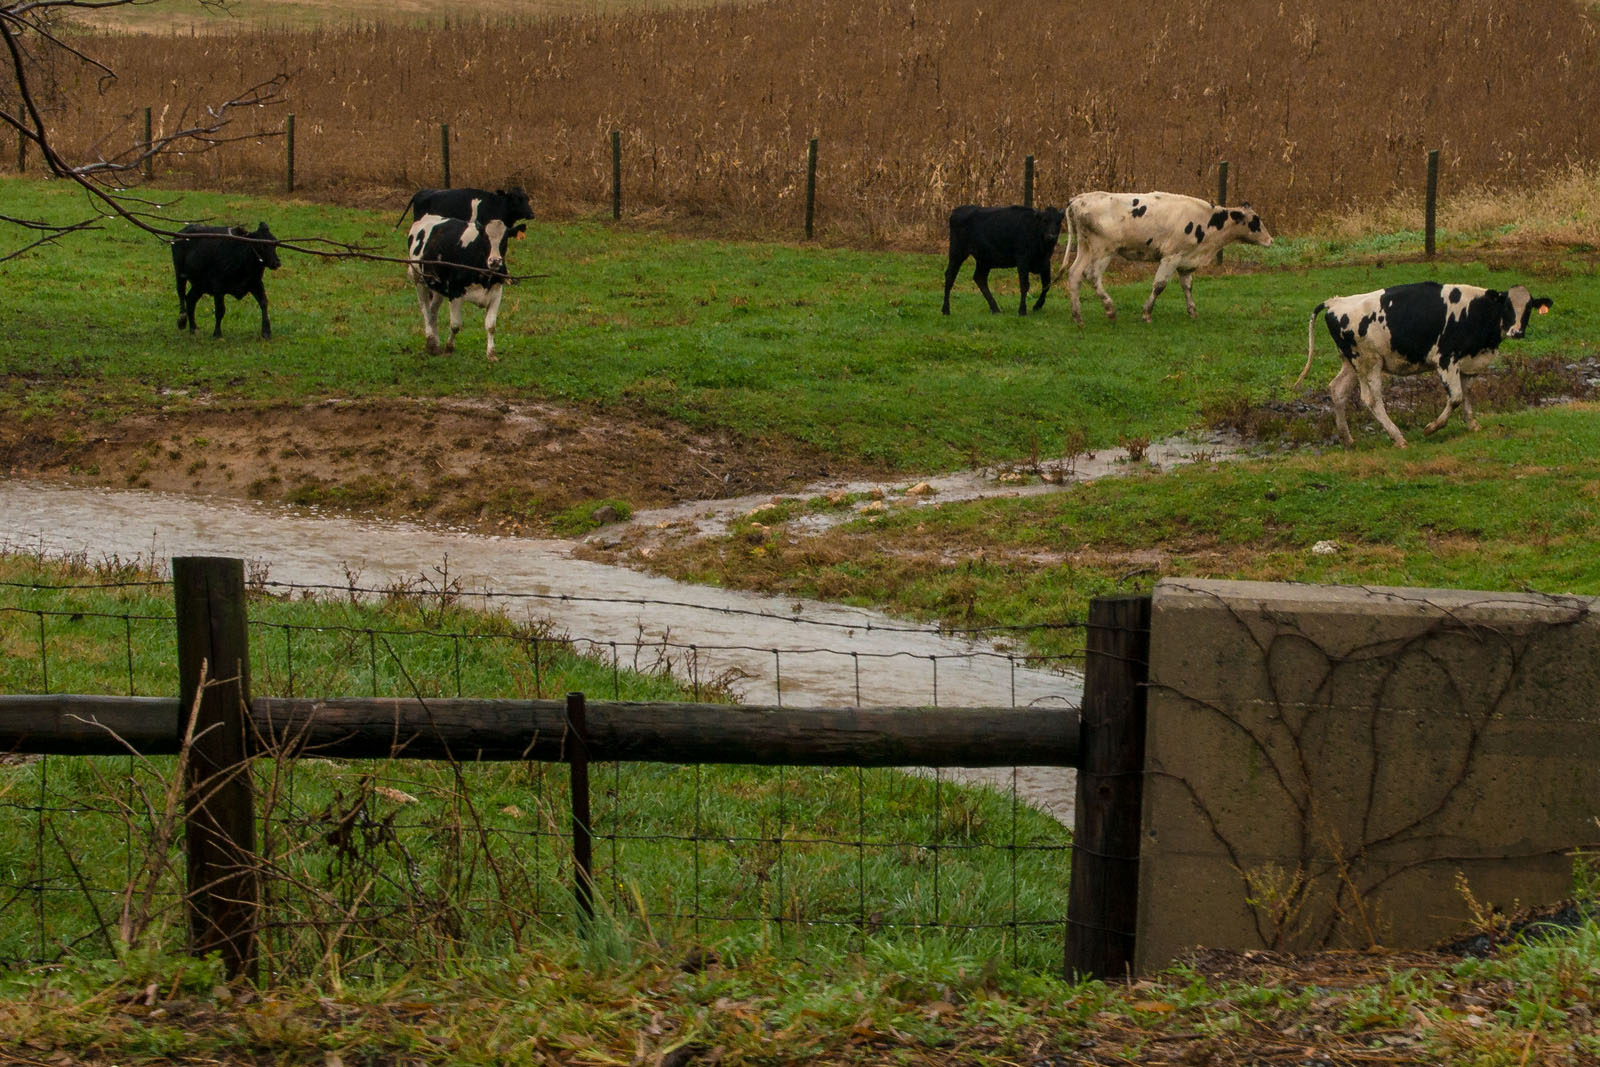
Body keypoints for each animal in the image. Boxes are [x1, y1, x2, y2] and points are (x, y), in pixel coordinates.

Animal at [406, 212, 518, 363]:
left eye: (504, 240)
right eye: (485, 239)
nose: (495, 261)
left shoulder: (496, 293)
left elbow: (491, 326)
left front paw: (491, 354)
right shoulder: (455, 293)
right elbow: (455, 325)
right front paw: (448, 349)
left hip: (438, 286)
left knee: (433, 311)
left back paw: (435, 343)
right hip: (419, 280)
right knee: (426, 310)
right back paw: (431, 343)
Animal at [934, 202, 1062, 315]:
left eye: (1058, 222)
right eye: (1045, 221)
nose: (1051, 237)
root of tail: (957, 211)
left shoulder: (1046, 262)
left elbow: (1047, 284)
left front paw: (1037, 306)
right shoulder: (1022, 260)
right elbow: (1024, 285)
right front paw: (1022, 311)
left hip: (984, 260)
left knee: (979, 278)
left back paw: (995, 309)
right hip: (957, 252)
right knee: (950, 275)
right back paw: (946, 310)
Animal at [1062, 191, 1273, 326]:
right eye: (1255, 222)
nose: (1271, 240)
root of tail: (1078, 199)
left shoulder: (1185, 261)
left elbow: (1187, 287)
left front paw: (1192, 311)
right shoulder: (1171, 257)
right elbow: (1159, 285)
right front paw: (1147, 313)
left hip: (1085, 247)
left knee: (1074, 274)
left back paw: (1077, 316)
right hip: (1104, 250)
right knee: (1092, 275)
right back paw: (1109, 309)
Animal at [1292, 279, 1555, 447]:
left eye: (1528, 308)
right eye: (1507, 306)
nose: (1517, 332)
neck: (1476, 311)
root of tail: (1334, 302)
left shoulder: (1469, 363)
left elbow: (1467, 395)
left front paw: (1472, 425)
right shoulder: (1446, 359)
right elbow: (1456, 397)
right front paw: (1432, 427)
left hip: (1351, 362)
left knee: (1337, 390)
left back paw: (1347, 439)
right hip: (1369, 362)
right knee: (1372, 399)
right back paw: (1397, 437)